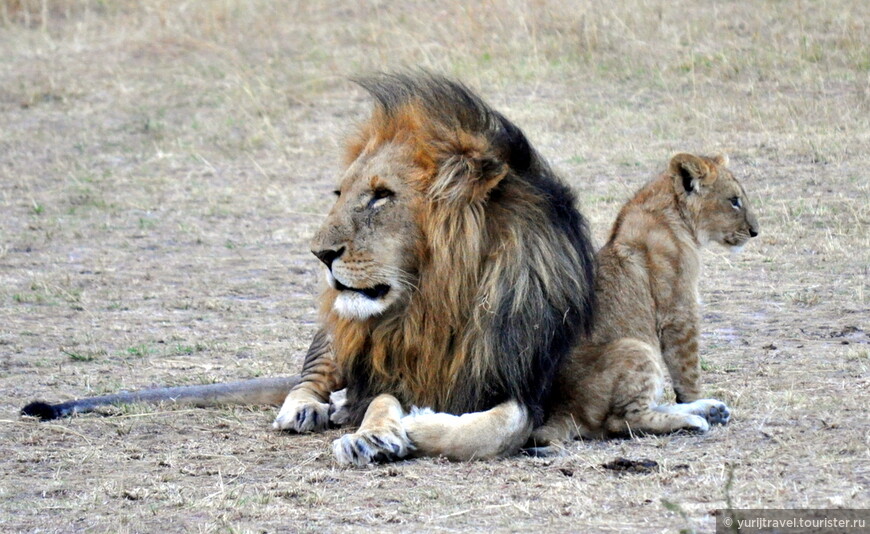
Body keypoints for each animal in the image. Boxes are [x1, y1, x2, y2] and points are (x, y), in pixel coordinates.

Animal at [528, 153, 760, 450]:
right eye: (734, 200)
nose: (755, 232)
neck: (673, 215)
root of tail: (563, 410)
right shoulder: (679, 311)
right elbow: (688, 370)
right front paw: (696, 397)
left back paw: (710, 410)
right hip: (635, 347)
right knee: (621, 422)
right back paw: (694, 418)